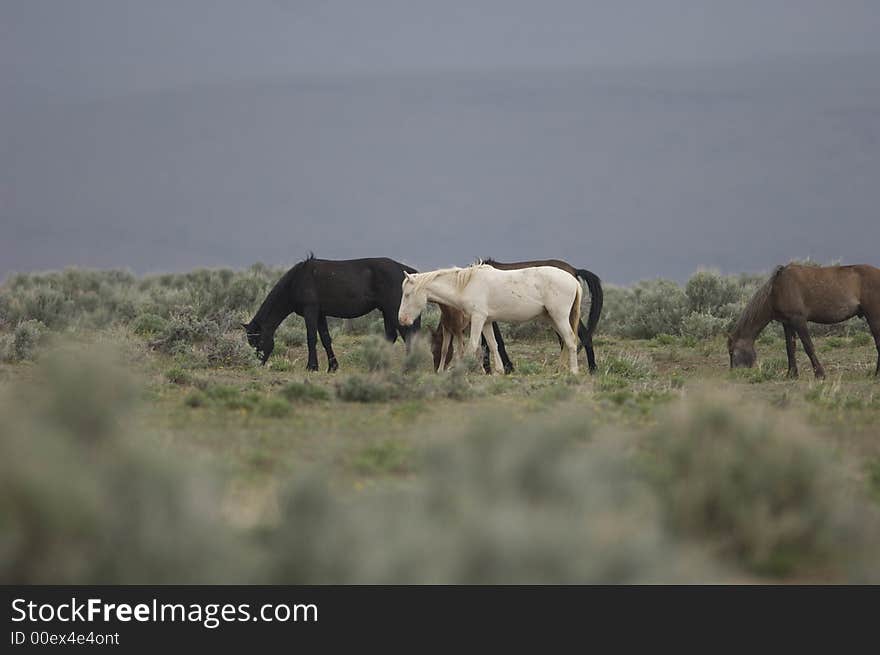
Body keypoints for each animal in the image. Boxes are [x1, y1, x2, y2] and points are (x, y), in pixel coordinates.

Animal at [241, 254, 420, 372]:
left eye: (257, 340)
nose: (257, 364)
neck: (297, 280)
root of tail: (404, 270)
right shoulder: (320, 314)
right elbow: (326, 339)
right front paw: (332, 367)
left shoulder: (311, 311)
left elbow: (311, 338)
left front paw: (311, 367)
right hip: (386, 311)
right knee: (392, 336)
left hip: (393, 310)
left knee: (406, 335)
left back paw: (408, 367)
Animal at [400, 262, 584, 374]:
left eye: (407, 294)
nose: (402, 319)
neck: (466, 285)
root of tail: (574, 281)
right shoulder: (487, 321)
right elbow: (492, 344)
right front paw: (499, 371)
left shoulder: (477, 318)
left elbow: (472, 346)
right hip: (552, 318)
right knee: (566, 341)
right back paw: (560, 368)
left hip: (559, 317)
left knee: (570, 340)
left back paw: (573, 371)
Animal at [728, 264, 880, 380]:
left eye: (732, 352)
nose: (733, 374)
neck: (777, 289)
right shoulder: (787, 323)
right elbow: (790, 348)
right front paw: (791, 374)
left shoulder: (799, 320)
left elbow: (808, 346)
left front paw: (820, 374)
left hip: (873, 318)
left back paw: (876, 374)